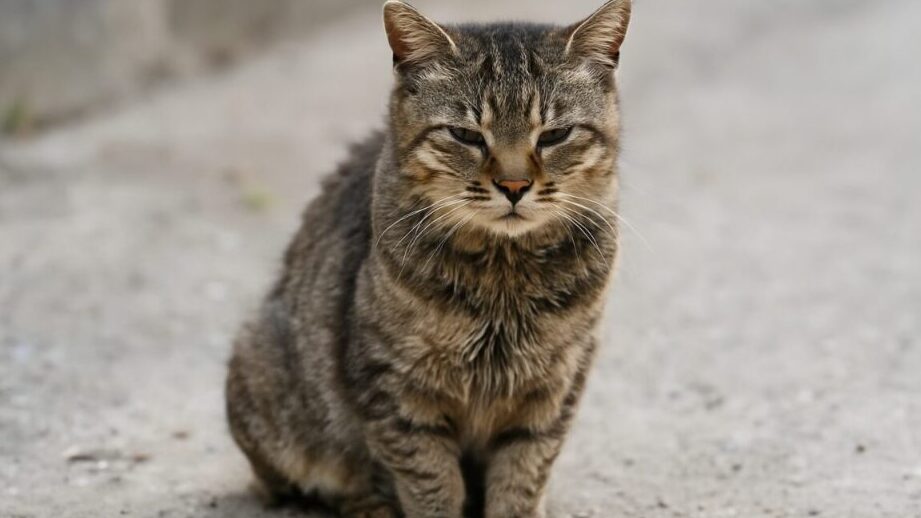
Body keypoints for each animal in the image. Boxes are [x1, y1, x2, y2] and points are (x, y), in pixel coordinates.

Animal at [225, 1, 631, 517]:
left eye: (554, 135)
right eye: (466, 135)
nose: (514, 186)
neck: (504, 278)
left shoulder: (553, 392)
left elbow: (522, 479)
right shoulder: (397, 391)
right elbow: (430, 482)